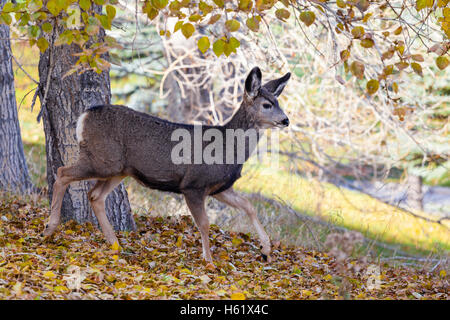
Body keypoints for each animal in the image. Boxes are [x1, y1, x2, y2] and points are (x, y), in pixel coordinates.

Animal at [44, 67, 290, 262]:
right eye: (267, 104)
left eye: (278, 102)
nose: (286, 120)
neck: (227, 148)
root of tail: (84, 116)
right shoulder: (193, 184)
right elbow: (205, 223)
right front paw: (209, 261)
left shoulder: (218, 187)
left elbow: (249, 206)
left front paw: (266, 250)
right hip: (102, 161)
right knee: (63, 172)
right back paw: (50, 227)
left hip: (118, 169)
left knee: (95, 196)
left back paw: (115, 244)